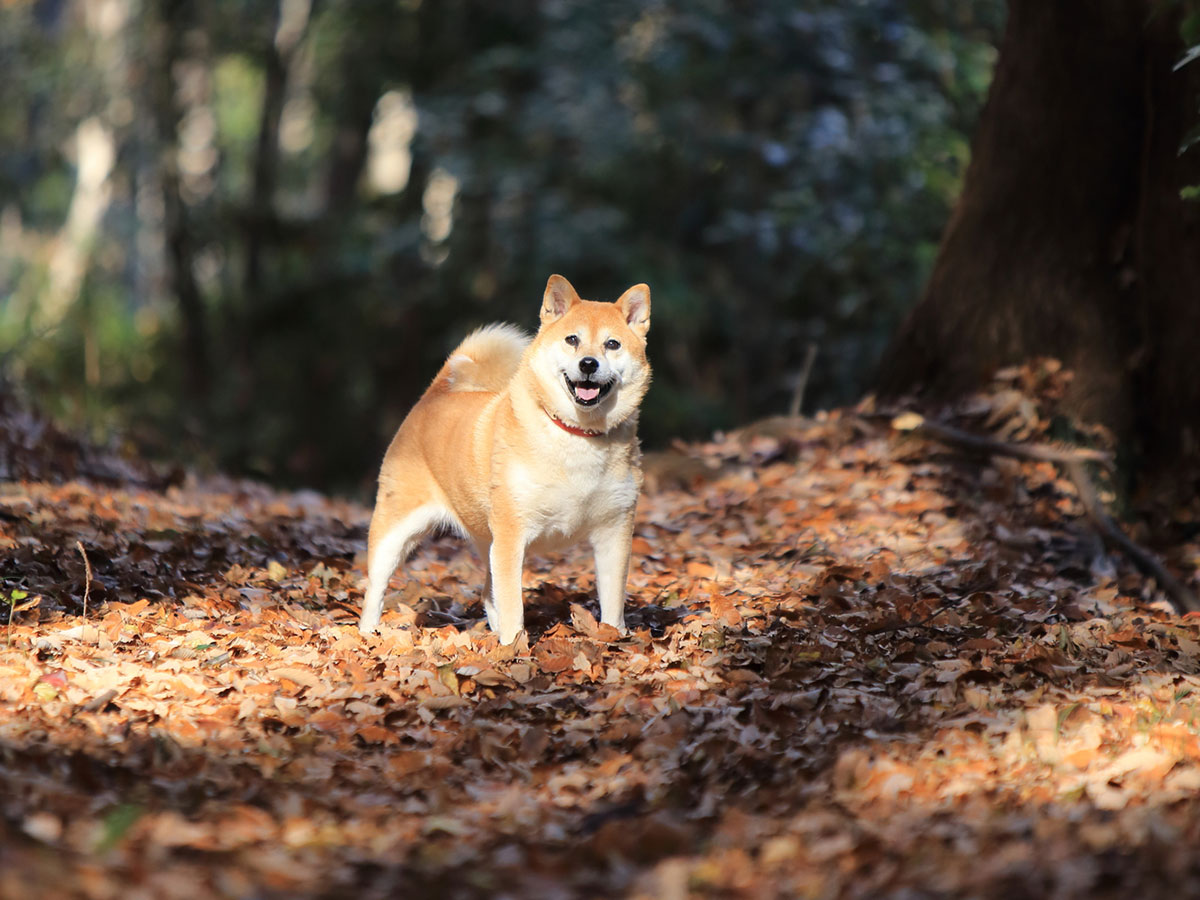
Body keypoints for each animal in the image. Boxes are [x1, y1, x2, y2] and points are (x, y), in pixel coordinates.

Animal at [360, 273, 652, 643]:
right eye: (572, 339)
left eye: (612, 344)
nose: (588, 363)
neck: (577, 437)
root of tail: (433, 396)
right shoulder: (513, 535)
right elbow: (514, 606)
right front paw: (516, 648)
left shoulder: (614, 532)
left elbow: (612, 602)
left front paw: (613, 637)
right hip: (395, 533)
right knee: (375, 589)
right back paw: (368, 633)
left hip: (488, 540)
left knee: (488, 591)